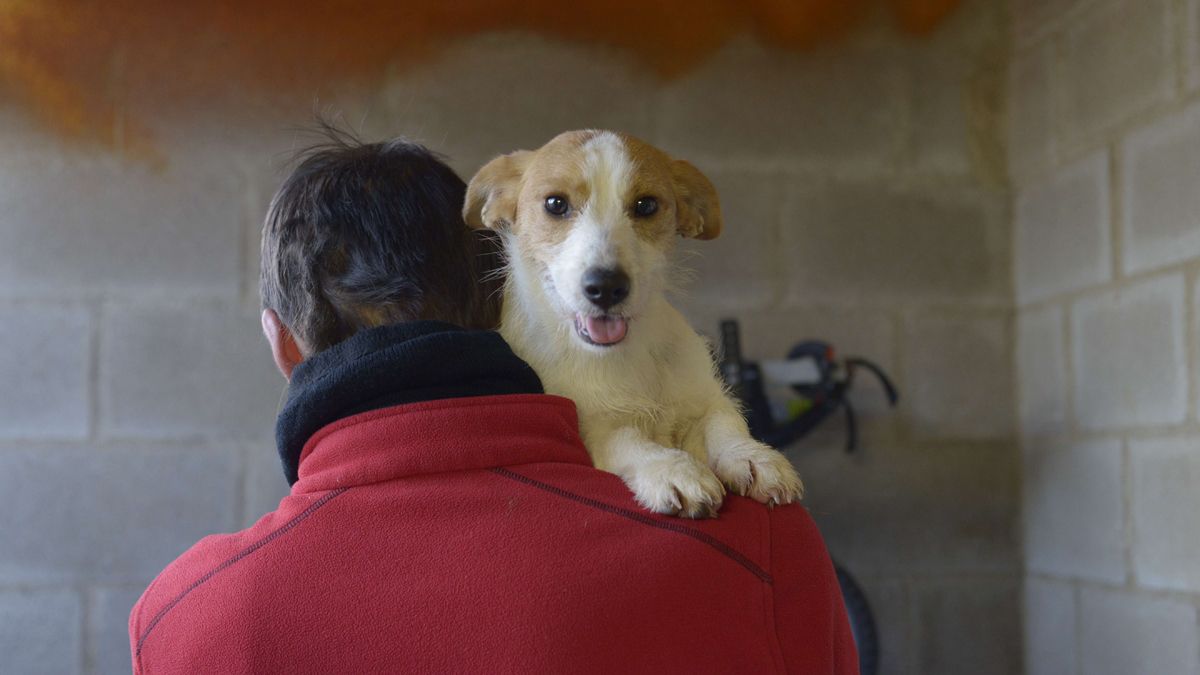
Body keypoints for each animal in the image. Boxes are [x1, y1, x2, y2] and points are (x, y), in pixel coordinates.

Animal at [463, 128, 801, 514]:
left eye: (646, 205)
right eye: (555, 204)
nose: (606, 287)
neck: (626, 355)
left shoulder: (702, 400)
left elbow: (724, 422)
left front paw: (752, 456)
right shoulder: (593, 428)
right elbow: (628, 439)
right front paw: (671, 468)